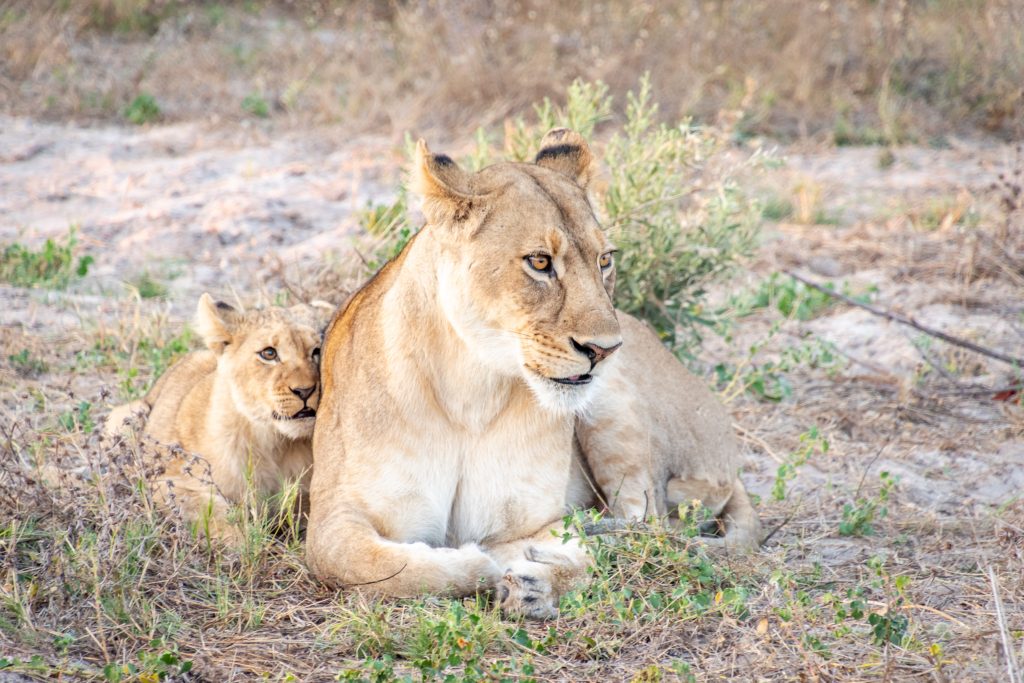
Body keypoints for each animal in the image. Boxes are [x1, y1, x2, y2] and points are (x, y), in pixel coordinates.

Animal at [105, 293, 331, 540]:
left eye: (317, 351)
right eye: (269, 353)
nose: (305, 391)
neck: (276, 443)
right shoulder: (171, 482)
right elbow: (219, 520)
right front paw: (249, 543)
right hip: (124, 418)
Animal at [307, 129, 622, 619]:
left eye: (604, 260)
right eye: (539, 262)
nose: (605, 349)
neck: (473, 390)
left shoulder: (540, 518)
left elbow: (585, 556)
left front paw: (535, 585)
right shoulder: (333, 516)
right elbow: (381, 566)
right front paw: (477, 563)